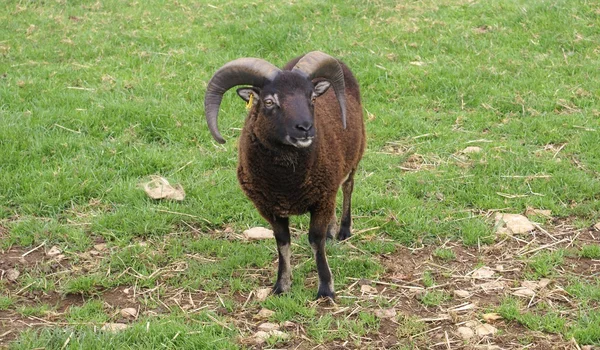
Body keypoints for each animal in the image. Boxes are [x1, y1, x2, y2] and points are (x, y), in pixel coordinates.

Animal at [204, 52, 366, 298]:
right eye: (269, 101)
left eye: (312, 98)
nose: (305, 128)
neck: (286, 182)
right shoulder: (270, 207)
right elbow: (283, 242)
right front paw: (281, 285)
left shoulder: (320, 199)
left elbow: (316, 241)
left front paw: (325, 289)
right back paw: (332, 230)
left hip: (354, 156)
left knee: (348, 187)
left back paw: (344, 230)